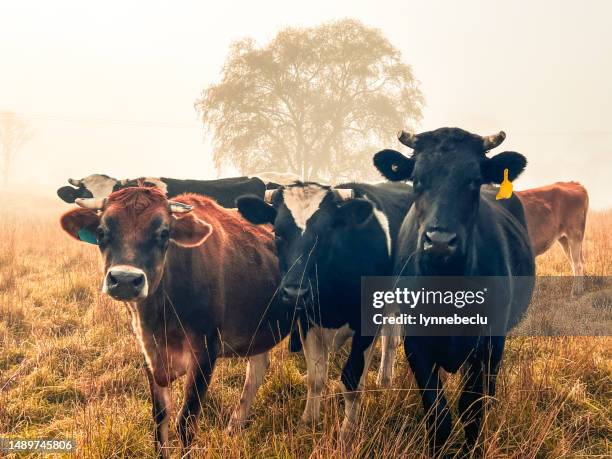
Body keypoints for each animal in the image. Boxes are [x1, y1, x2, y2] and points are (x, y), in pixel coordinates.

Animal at [61, 186, 292, 456]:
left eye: (164, 233)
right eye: (101, 232)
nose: (126, 280)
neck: (160, 319)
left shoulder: (205, 353)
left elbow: (186, 421)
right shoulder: (148, 352)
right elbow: (160, 417)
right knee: (256, 370)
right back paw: (234, 427)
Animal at [237, 181, 414, 440]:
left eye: (328, 231)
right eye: (278, 232)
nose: (294, 291)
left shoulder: (366, 323)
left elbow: (351, 381)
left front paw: (347, 435)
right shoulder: (308, 322)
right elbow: (316, 378)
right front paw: (307, 423)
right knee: (390, 339)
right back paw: (384, 380)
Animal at [372, 127, 536, 454]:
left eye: (473, 180)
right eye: (417, 179)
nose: (439, 241)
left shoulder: (488, 343)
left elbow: (472, 410)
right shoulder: (417, 344)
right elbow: (438, 414)